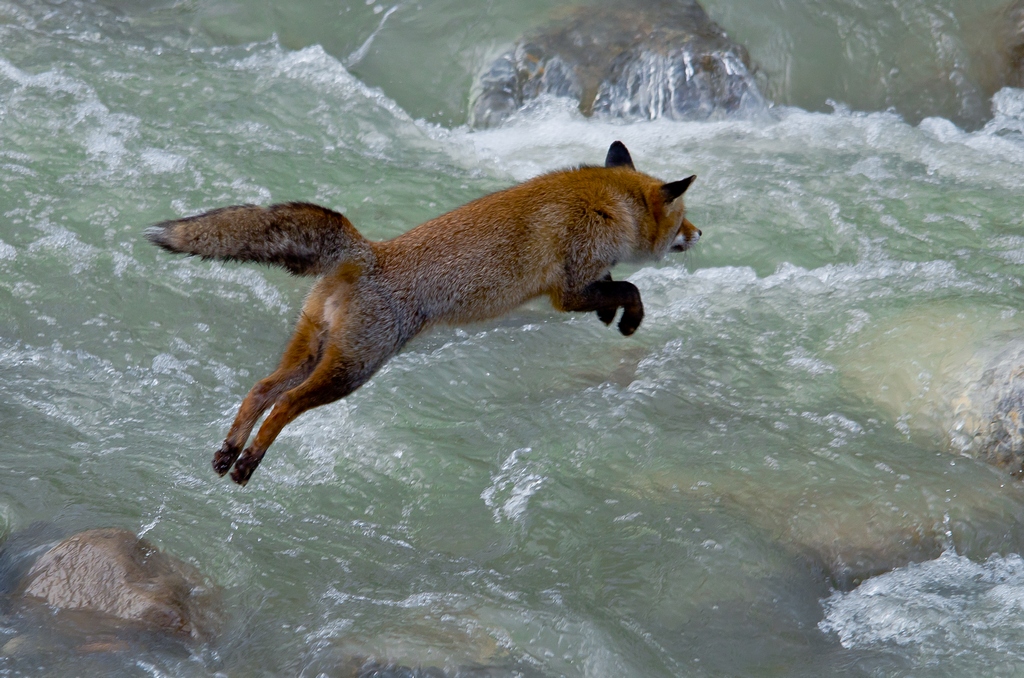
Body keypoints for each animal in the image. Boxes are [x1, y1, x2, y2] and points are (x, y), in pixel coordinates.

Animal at [148, 142, 700, 489]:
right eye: (683, 217)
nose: (700, 234)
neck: (607, 202)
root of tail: (367, 253)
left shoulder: (582, 284)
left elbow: (614, 288)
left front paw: (612, 319)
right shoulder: (566, 290)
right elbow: (630, 287)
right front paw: (629, 318)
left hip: (311, 351)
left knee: (261, 390)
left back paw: (228, 452)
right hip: (353, 369)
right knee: (284, 405)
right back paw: (249, 463)